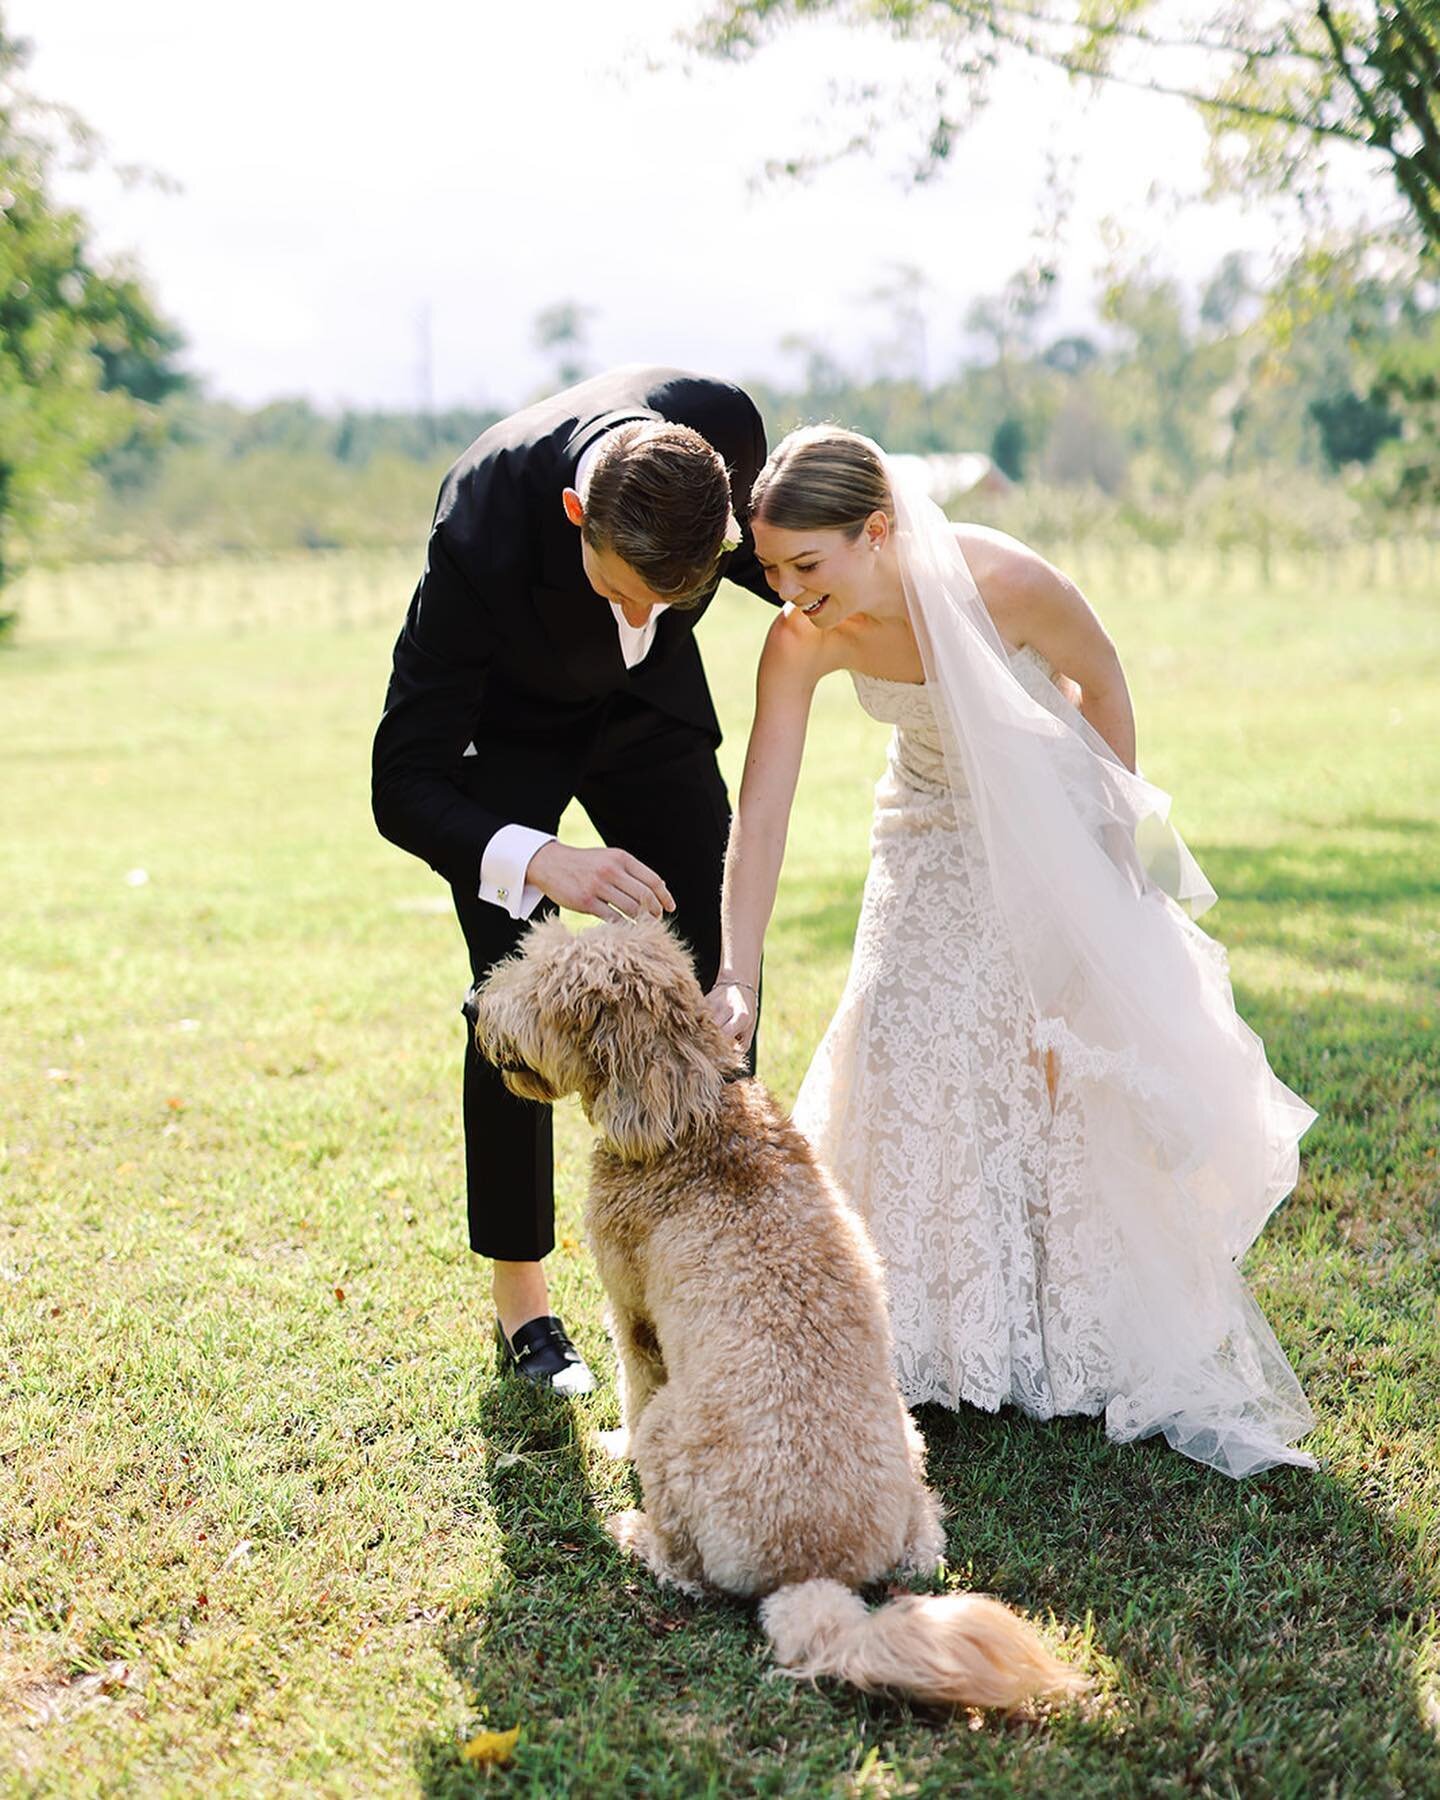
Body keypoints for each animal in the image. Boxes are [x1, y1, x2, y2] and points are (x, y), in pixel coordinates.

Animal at [468, 914, 1087, 1713]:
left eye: (546, 986)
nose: (474, 1009)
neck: (694, 1110)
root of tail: (814, 1572)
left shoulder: (632, 1312)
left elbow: (632, 1387)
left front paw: (614, 1445)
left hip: (676, 1440)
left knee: (686, 1564)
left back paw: (635, 1532)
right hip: (912, 1462)